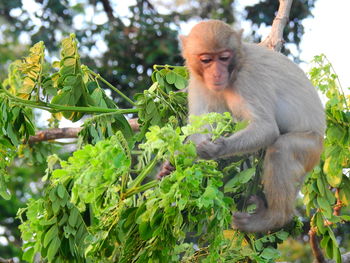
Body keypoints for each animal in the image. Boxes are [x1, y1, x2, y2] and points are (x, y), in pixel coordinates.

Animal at [180, 20, 326, 233]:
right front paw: (170, 166)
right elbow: (201, 127)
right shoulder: (198, 81)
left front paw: (217, 148)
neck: (236, 68)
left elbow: (266, 128)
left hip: (311, 148)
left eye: (224, 58)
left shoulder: (249, 79)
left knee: (282, 148)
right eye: (206, 60)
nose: (217, 73)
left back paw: (274, 218)